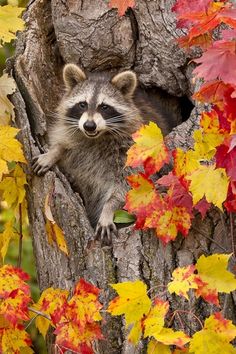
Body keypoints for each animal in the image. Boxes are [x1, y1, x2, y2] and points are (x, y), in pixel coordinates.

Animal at [32, 64, 181, 243]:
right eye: (82, 104)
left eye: (104, 107)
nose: (89, 125)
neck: (97, 137)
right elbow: (64, 143)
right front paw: (54, 152)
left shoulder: (130, 152)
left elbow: (125, 186)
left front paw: (108, 210)